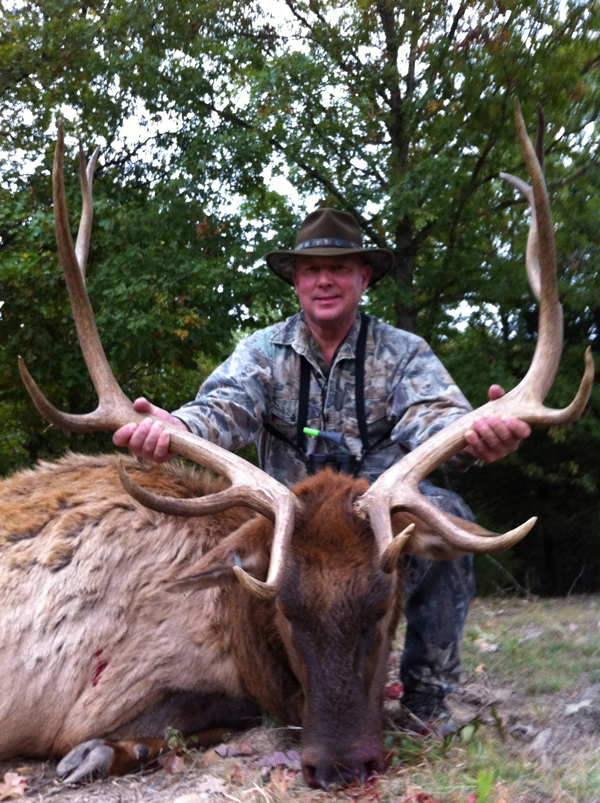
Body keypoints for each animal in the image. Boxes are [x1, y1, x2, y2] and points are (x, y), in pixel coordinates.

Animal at [0, 102, 592, 792]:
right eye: (283, 608)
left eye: (384, 606)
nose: (341, 765)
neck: (234, 623)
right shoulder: (103, 689)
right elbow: (206, 714)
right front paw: (102, 751)